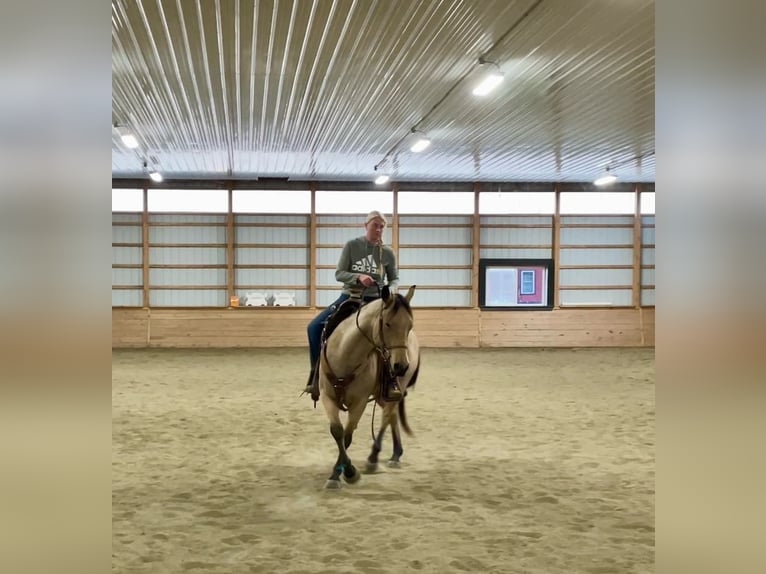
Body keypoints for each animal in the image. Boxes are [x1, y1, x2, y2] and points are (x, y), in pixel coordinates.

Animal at [316, 284, 420, 490]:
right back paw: (395, 454)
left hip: (395, 389)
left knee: (387, 415)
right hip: (383, 393)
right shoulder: (326, 396)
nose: (401, 366)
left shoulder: (360, 402)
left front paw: (347, 473)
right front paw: (336, 475)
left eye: (409, 325)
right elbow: (337, 431)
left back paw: (373, 458)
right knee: (392, 415)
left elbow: (347, 436)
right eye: (387, 324)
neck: (345, 356)